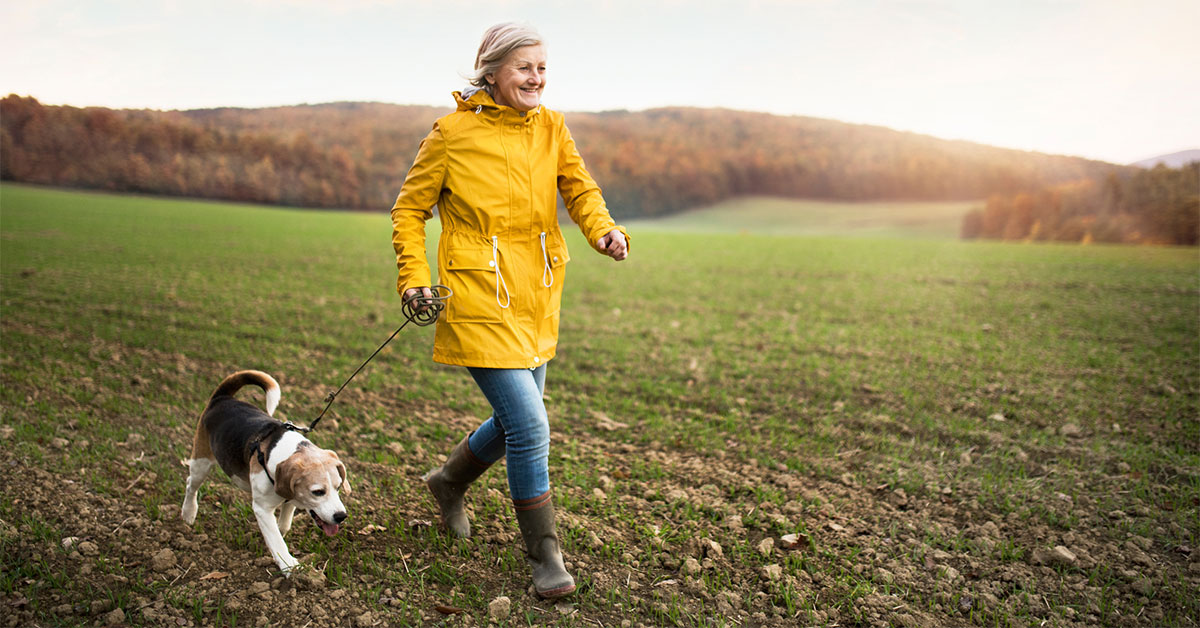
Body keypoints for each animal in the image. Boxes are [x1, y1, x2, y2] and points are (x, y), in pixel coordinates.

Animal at [180, 372, 350, 578]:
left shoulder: (290, 497)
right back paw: (188, 513)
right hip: (202, 462)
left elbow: (283, 524)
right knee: (191, 484)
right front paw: (290, 566)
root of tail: (222, 398)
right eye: (317, 492)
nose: (341, 516)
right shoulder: (262, 508)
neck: (288, 452)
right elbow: (276, 540)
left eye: (338, 487)